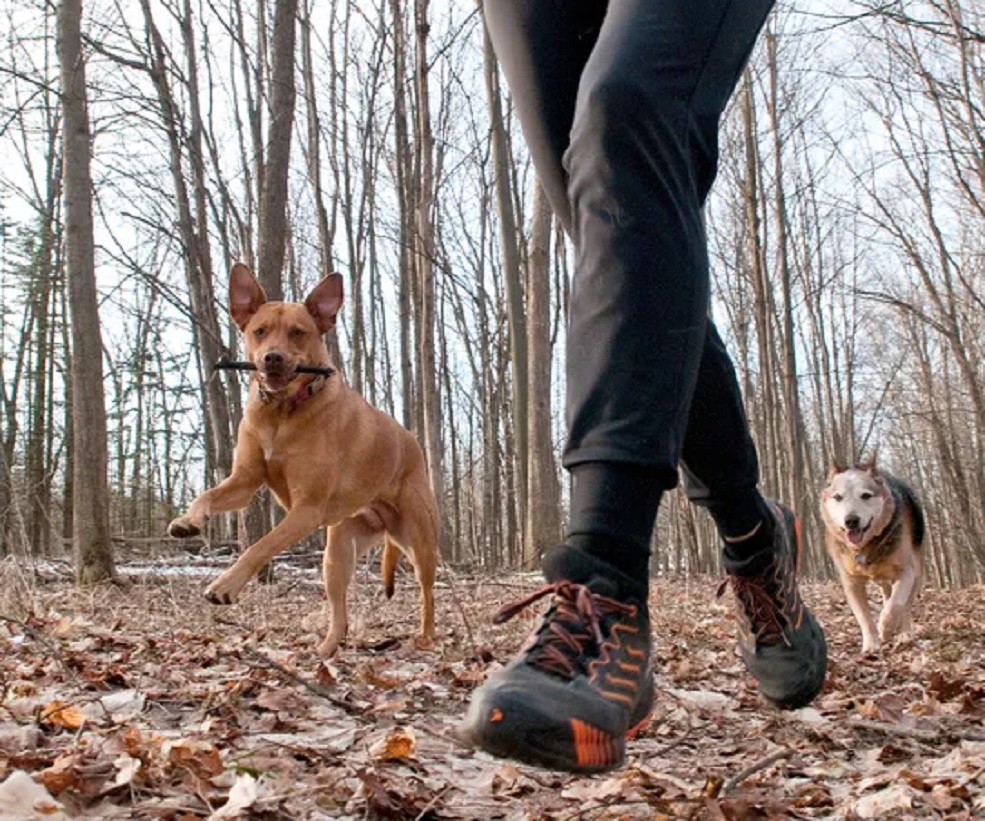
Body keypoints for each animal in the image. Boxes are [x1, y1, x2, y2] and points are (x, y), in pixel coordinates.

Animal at [168, 266, 438, 656]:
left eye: (298, 332)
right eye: (260, 330)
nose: (273, 357)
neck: (281, 412)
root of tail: (412, 443)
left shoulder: (306, 510)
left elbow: (261, 545)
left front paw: (225, 585)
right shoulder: (245, 482)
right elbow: (208, 494)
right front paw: (188, 521)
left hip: (419, 541)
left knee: (427, 593)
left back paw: (426, 636)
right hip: (337, 554)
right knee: (340, 612)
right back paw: (325, 651)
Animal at [820, 458, 928, 652]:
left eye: (866, 495)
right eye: (838, 497)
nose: (851, 520)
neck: (866, 546)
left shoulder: (906, 571)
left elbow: (896, 604)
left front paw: (885, 628)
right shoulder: (851, 582)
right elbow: (863, 615)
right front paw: (871, 645)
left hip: (917, 569)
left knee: (905, 605)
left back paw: (904, 633)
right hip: (882, 579)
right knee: (886, 592)